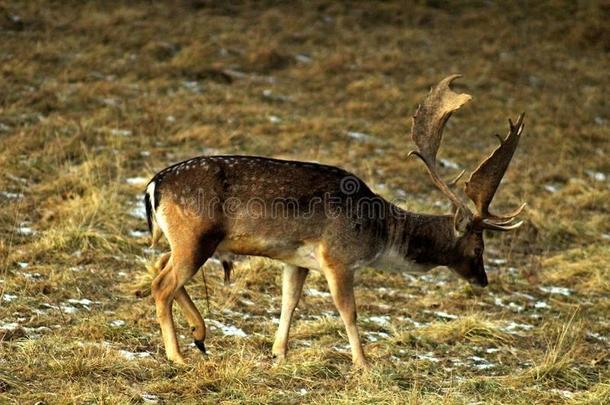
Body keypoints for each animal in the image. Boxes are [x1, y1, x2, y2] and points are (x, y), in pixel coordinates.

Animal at [141, 75, 524, 366]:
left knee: (159, 264)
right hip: (196, 237)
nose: (483, 280)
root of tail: (153, 185)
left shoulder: (297, 260)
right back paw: (178, 355)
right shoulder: (338, 258)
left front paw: (279, 352)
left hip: (190, 240)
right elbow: (348, 311)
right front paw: (363, 363)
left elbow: (290, 302)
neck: (380, 234)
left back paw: (200, 334)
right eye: (478, 247)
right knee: (162, 284)